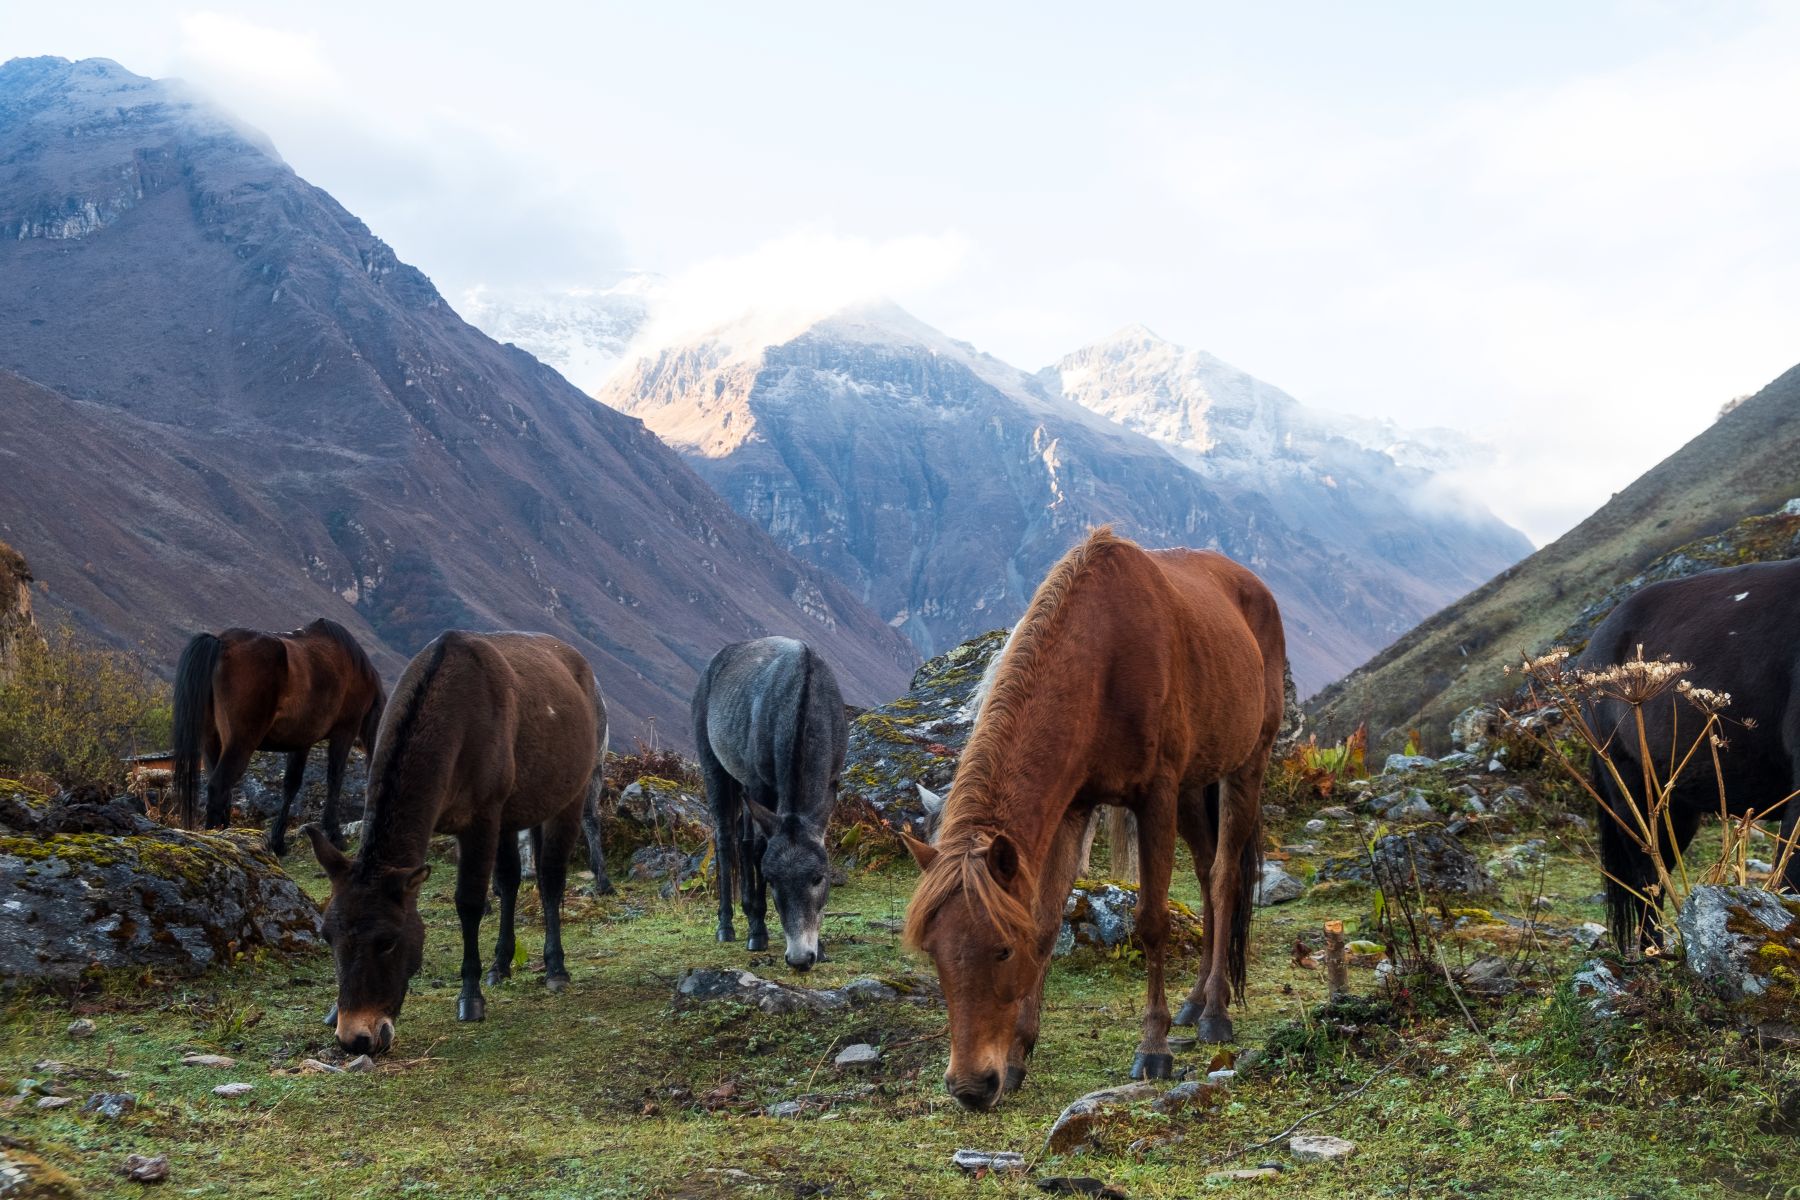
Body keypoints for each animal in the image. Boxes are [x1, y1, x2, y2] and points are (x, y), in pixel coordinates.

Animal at [171, 618, 385, 853]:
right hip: (240, 744)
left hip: (211, 743)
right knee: (218, 787)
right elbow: (334, 779)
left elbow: (291, 785)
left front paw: (278, 841)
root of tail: (221, 643)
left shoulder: (301, 742)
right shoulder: (344, 732)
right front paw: (335, 835)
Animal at [303, 630, 609, 1055]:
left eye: (388, 941)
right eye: (327, 936)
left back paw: (555, 968)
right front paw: (333, 1011)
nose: (357, 1037)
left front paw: (471, 996)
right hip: (516, 812)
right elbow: (499, 886)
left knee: (550, 880)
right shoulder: (492, 818)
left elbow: (469, 903)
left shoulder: (480, 819)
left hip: (571, 796)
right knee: (511, 881)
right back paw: (501, 965)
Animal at [694, 637, 848, 972]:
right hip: (715, 769)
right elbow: (757, 850)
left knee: (740, 839)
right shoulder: (758, 786)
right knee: (726, 839)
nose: (801, 958)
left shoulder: (831, 779)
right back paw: (727, 925)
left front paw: (822, 946)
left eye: (819, 877)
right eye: (772, 880)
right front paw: (757, 929)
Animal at [901, 527, 1285, 1110]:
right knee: (1203, 873)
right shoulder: (1073, 807)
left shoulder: (1155, 797)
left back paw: (1215, 1013)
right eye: (933, 953)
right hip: (1195, 787)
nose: (970, 1088)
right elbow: (1045, 924)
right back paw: (1195, 1002)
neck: (1103, 658)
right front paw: (1019, 1055)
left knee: (1222, 879)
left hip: (1245, 766)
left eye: (1000, 950)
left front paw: (1153, 1048)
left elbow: (1151, 922)